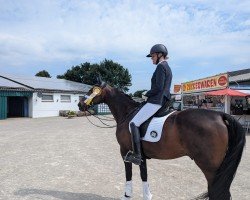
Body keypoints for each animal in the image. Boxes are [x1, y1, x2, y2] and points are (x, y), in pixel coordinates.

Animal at [78, 80, 246, 200]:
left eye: (91, 90)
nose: (80, 105)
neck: (127, 113)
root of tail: (220, 115)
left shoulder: (125, 152)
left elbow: (129, 174)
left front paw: (126, 196)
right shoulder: (141, 156)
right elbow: (144, 175)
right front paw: (147, 196)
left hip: (210, 167)